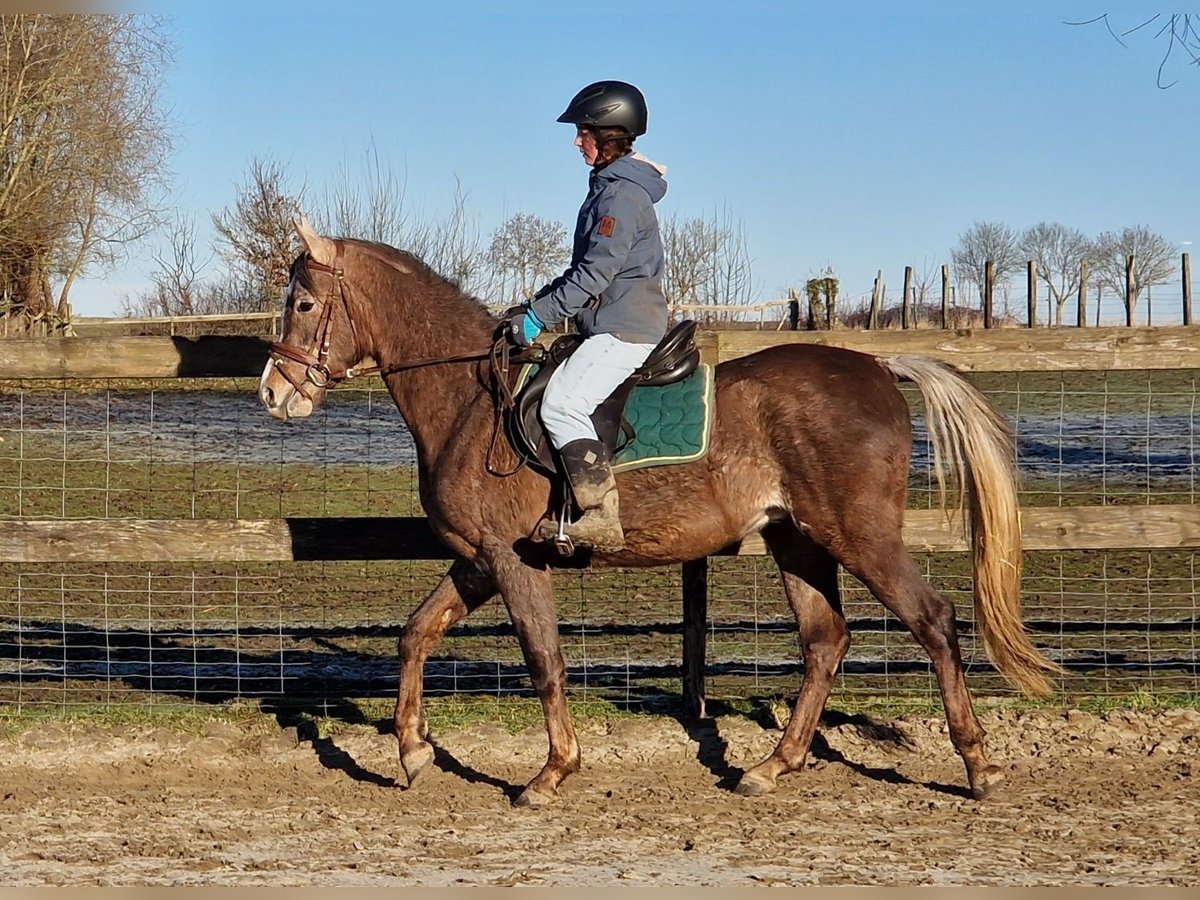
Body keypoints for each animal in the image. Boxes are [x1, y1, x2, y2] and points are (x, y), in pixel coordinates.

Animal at [255, 218, 1060, 811]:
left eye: (303, 305)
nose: (273, 392)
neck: (472, 401)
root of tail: (876, 366)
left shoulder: (512, 560)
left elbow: (544, 660)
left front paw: (552, 772)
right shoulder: (481, 559)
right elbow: (416, 633)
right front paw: (413, 751)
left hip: (858, 535)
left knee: (933, 620)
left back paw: (976, 765)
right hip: (797, 542)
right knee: (825, 642)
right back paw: (772, 765)